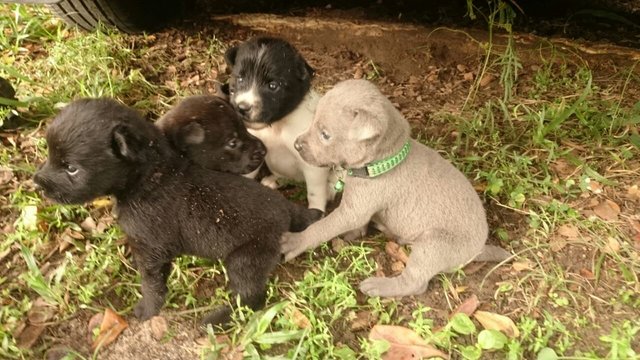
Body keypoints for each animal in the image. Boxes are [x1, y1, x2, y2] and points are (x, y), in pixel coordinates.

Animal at [32, 97, 318, 326]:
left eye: (71, 168)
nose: (37, 183)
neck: (150, 175)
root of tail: (286, 210)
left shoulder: (151, 251)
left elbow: (151, 284)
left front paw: (147, 310)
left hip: (245, 259)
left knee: (252, 296)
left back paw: (217, 318)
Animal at [225, 36, 336, 217]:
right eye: (239, 79)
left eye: (273, 86)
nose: (242, 108)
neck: (276, 126)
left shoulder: (313, 166)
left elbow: (315, 193)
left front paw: (317, 213)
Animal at [282, 79, 510, 298]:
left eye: (325, 135)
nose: (296, 145)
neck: (382, 162)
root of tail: (478, 249)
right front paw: (356, 232)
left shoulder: (353, 210)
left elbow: (322, 227)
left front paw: (297, 240)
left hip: (434, 244)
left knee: (416, 283)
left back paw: (379, 286)